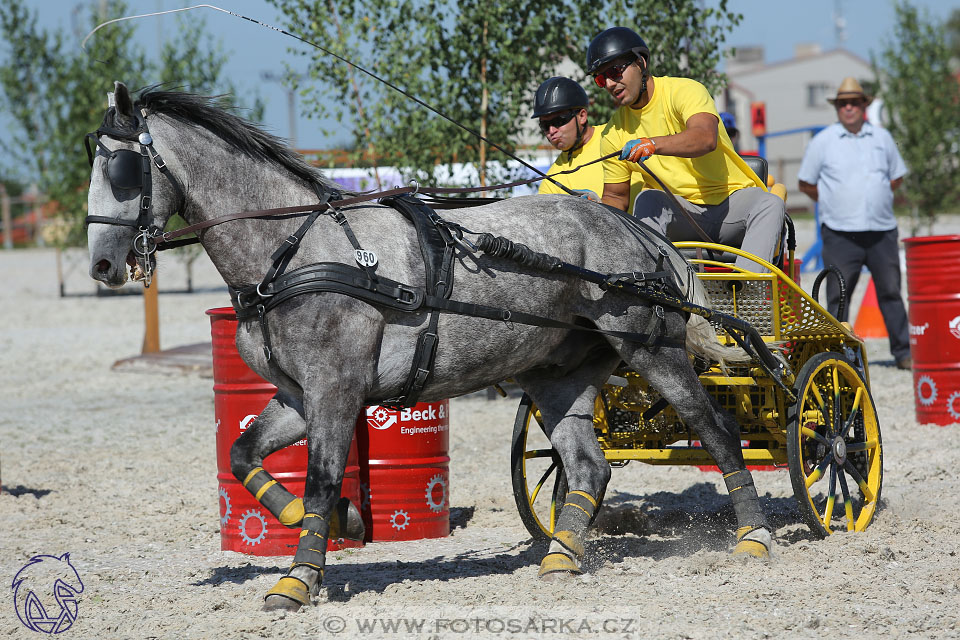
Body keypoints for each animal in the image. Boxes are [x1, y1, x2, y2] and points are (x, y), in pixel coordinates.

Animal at [84, 82, 772, 612]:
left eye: (120, 171)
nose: (102, 265)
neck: (294, 250)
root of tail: (635, 232)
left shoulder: (335, 389)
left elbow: (321, 478)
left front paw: (298, 578)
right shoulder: (298, 394)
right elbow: (243, 454)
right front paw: (331, 523)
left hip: (652, 349)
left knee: (715, 430)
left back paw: (753, 537)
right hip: (557, 375)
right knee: (587, 466)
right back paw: (562, 556)